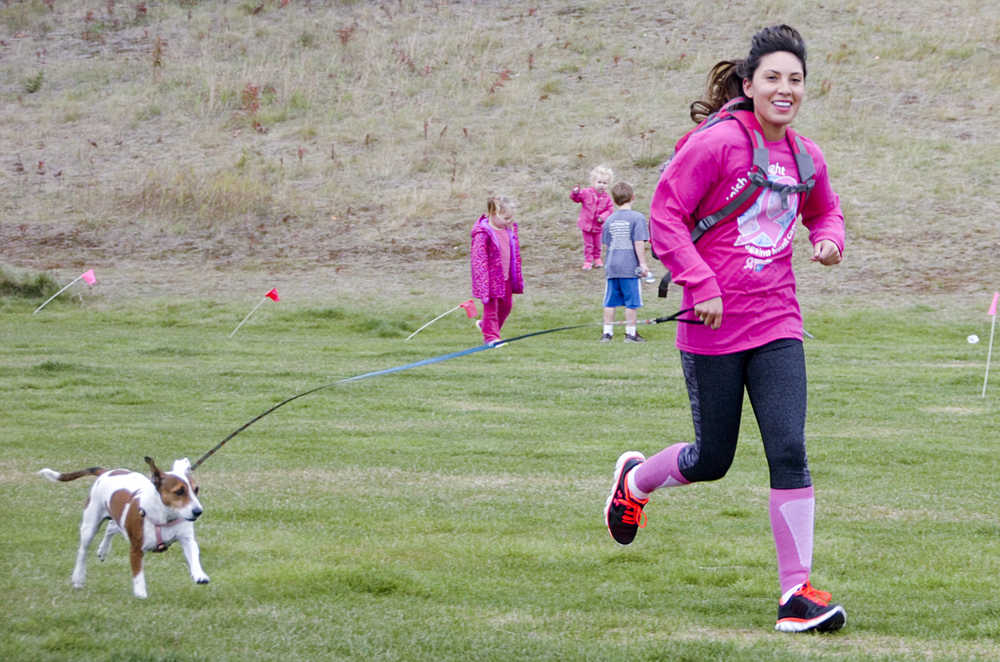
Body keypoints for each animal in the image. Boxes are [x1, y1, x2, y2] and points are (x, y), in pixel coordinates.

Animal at [39, 460, 209, 600]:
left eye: (196, 490)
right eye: (179, 491)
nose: (198, 511)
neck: (165, 517)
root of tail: (107, 471)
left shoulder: (187, 539)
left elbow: (194, 555)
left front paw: (199, 575)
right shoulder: (136, 549)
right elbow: (138, 574)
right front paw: (141, 594)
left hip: (117, 517)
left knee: (111, 527)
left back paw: (103, 550)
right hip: (90, 524)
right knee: (83, 551)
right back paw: (78, 577)